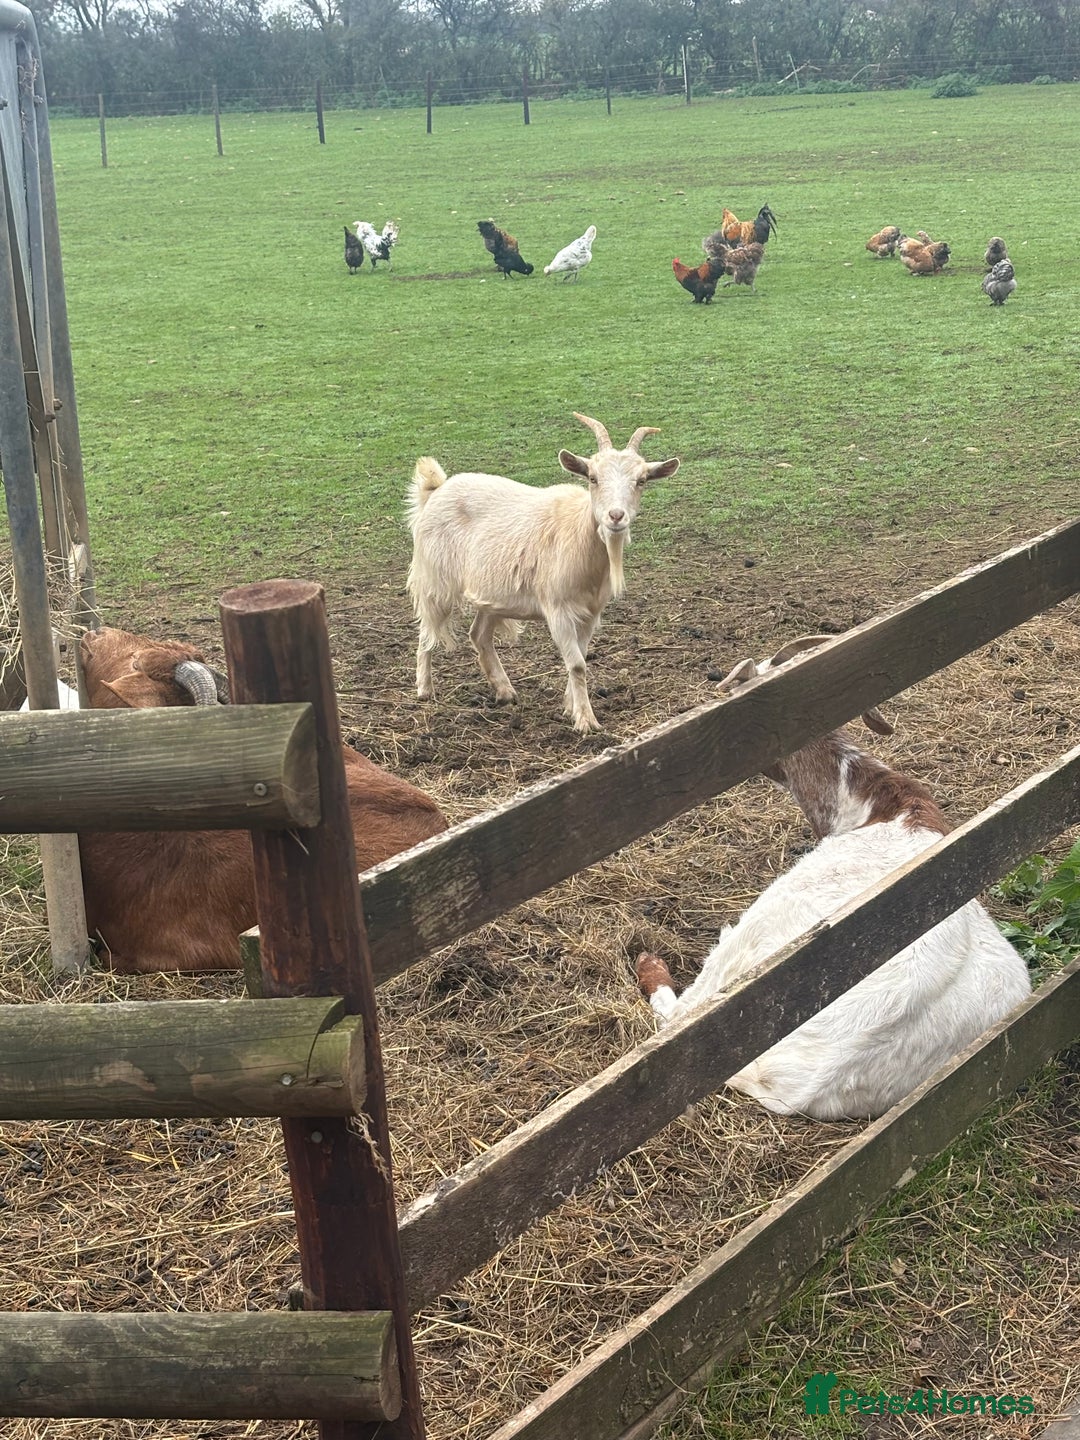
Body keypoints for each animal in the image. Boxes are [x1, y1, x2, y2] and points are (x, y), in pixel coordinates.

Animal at [406, 414, 680, 734]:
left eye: (641, 481)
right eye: (593, 478)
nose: (615, 516)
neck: (578, 534)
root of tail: (436, 490)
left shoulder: (590, 613)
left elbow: (581, 658)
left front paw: (570, 707)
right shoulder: (558, 609)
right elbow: (577, 664)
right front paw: (586, 721)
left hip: (491, 594)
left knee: (479, 635)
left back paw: (505, 691)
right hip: (435, 581)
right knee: (426, 632)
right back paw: (424, 689)